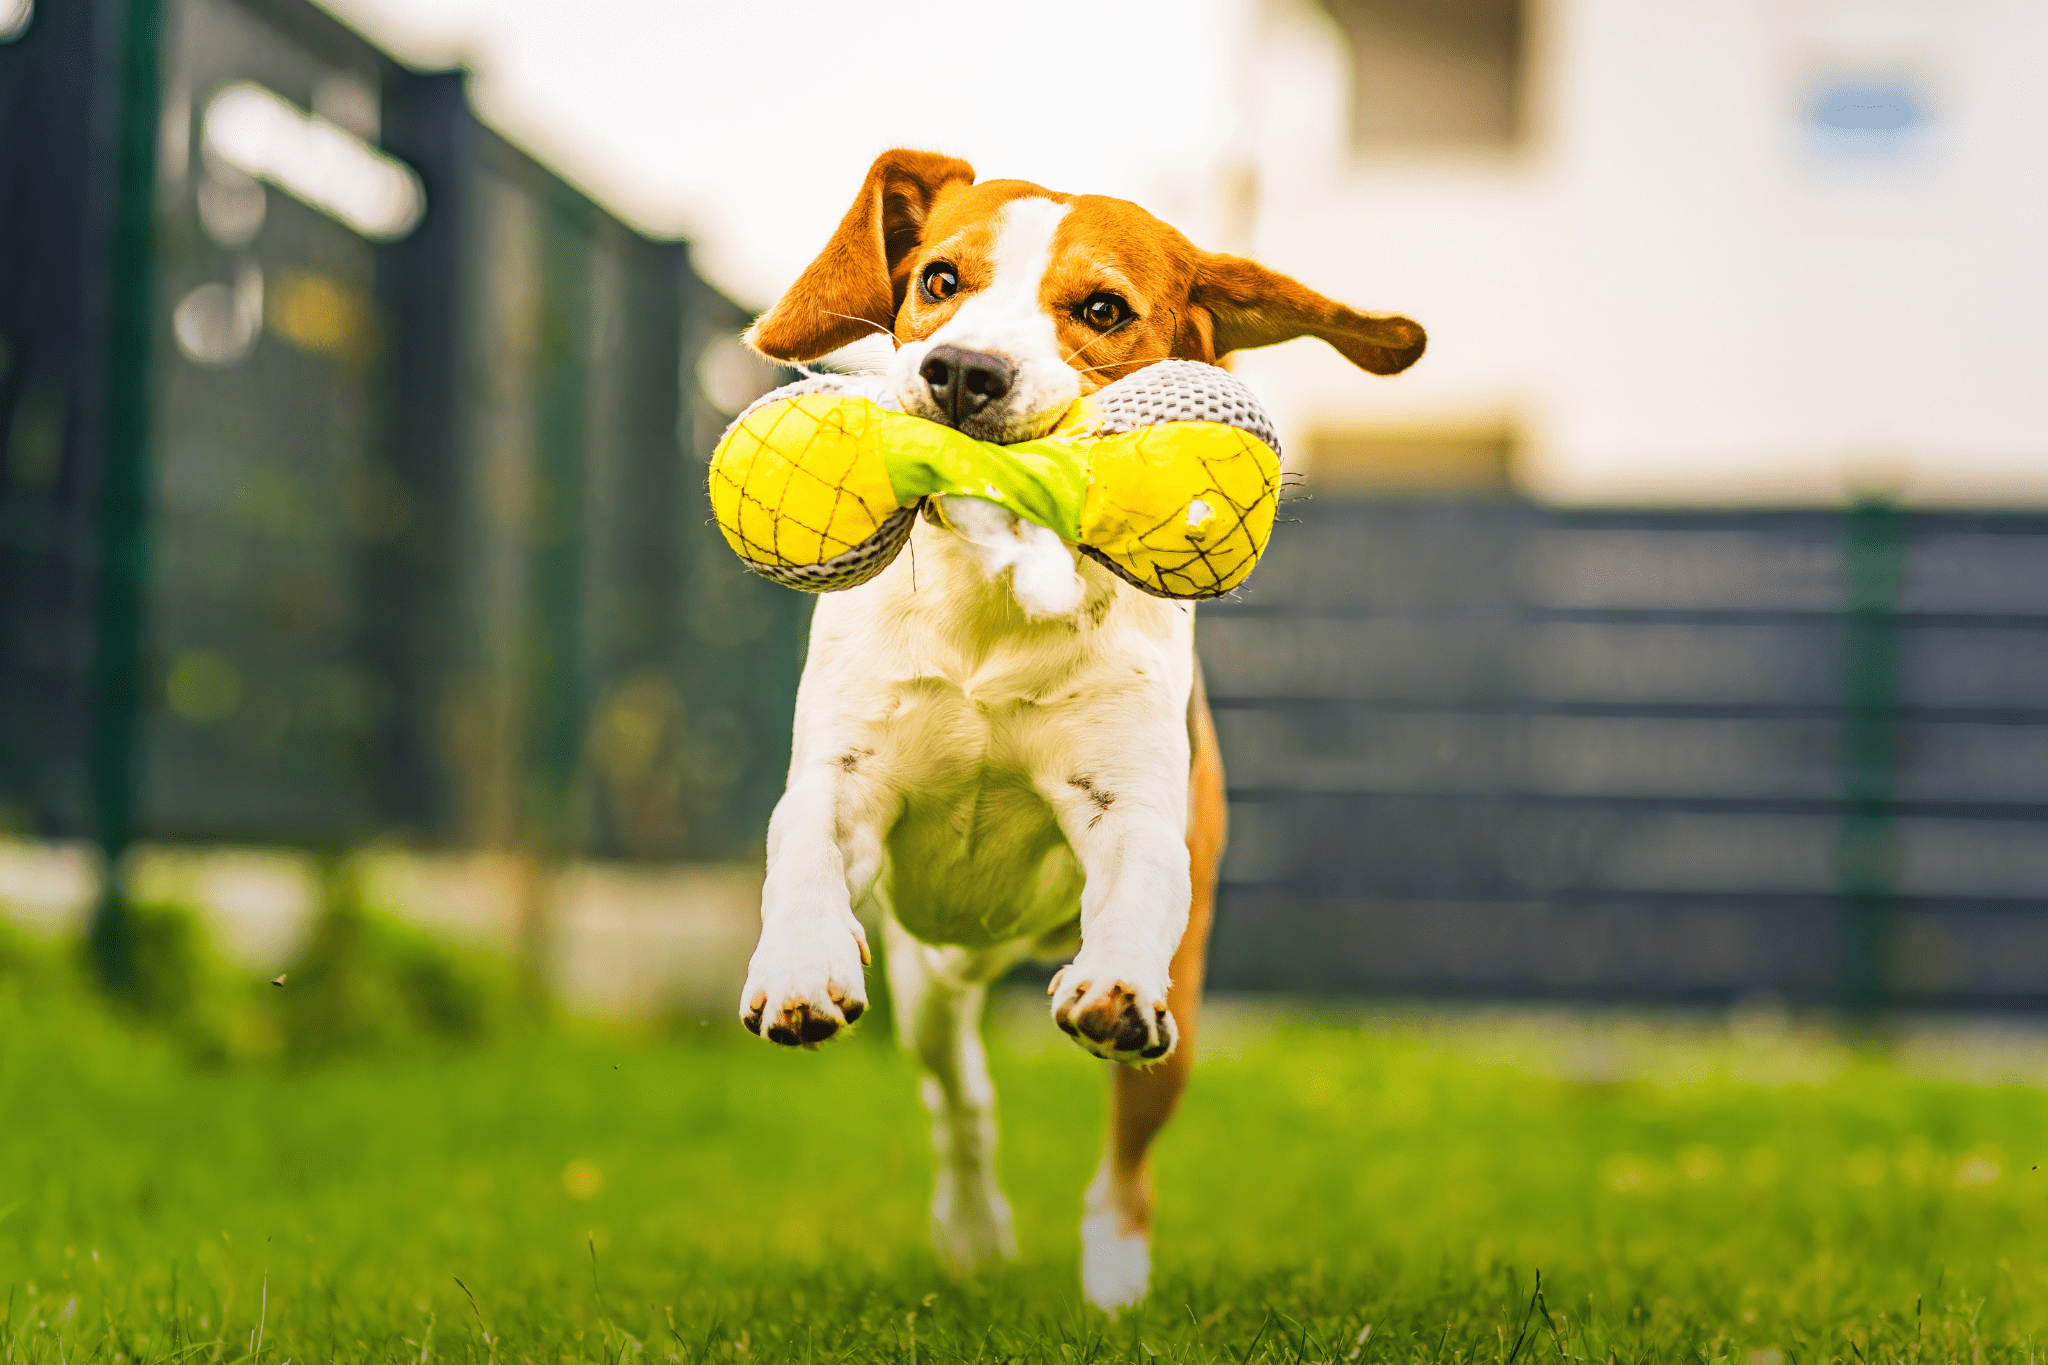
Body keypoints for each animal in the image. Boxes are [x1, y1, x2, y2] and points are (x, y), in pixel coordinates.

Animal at [737, 149, 1425, 1309]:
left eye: (1101, 309)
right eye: (938, 279)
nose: (961, 373)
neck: (994, 590)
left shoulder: (1132, 808)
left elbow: (1136, 878)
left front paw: (1112, 988)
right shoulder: (841, 778)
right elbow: (803, 852)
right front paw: (794, 968)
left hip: (1176, 1017)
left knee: (1127, 1156)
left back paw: (1113, 1276)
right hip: (929, 981)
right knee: (960, 1099)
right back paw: (973, 1231)